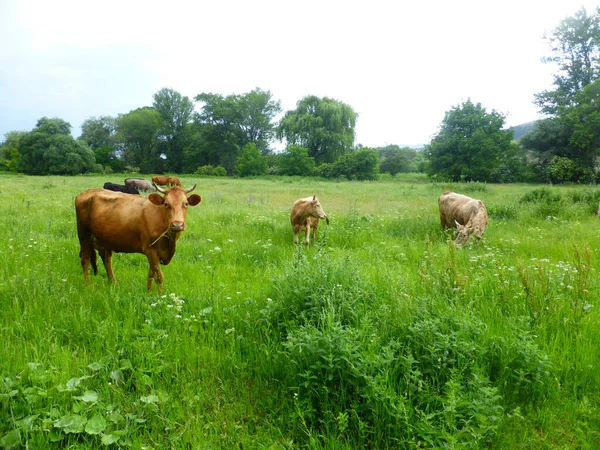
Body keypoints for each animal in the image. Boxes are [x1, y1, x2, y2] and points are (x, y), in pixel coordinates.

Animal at [74, 184, 202, 294]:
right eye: (166, 204)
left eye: (186, 204)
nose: (177, 225)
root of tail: (87, 192)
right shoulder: (150, 250)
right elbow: (158, 276)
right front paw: (160, 296)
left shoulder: (154, 252)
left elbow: (151, 274)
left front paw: (149, 293)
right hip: (84, 234)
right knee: (85, 259)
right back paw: (88, 284)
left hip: (105, 239)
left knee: (107, 259)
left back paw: (113, 282)